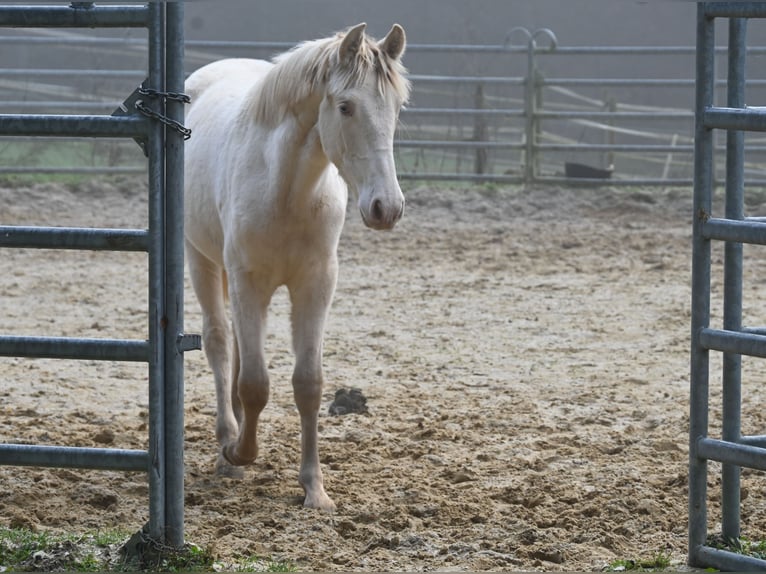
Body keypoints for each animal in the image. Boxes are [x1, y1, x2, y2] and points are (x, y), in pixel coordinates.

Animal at [184, 23, 412, 512]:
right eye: (345, 106)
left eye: (396, 107)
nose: (386, 208)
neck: (286, 189)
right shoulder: (249, 281)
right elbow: (255, 383)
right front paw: (238, 453)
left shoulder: (315, 284)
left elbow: (307, 384)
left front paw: (314, 488)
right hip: (201, 260)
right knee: (219, 342)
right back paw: (228, 443)